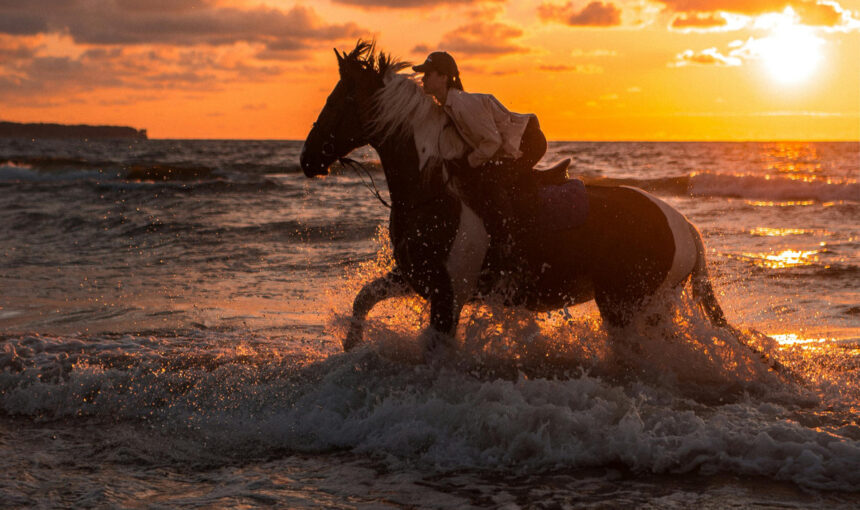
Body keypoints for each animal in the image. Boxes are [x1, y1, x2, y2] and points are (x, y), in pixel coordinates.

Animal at [299, 41, 733, 357]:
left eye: (339, 101)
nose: (307, 159)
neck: (431, 191)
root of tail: (684, 225)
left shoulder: (447, 297)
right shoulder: (415, 278)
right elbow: (363, 299)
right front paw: (350, 348)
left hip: (624, 306)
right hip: (655, 306)